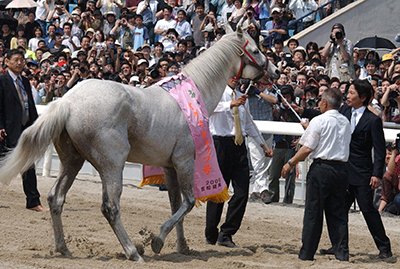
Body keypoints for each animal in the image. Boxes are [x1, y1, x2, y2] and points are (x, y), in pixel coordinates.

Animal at [0, 28, 280, 260]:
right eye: (256, 49)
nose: (275, 71)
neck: (193, 96)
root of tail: (67, 102)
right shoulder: (184, 161)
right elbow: (188, 202)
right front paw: (156, 241)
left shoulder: (168, 167)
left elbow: (176, 204)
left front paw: (182, 246)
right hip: (112, 164)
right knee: (110, 207)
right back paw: (133, 251)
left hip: (73, 161)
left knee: (55, 198)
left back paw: (63, 248)